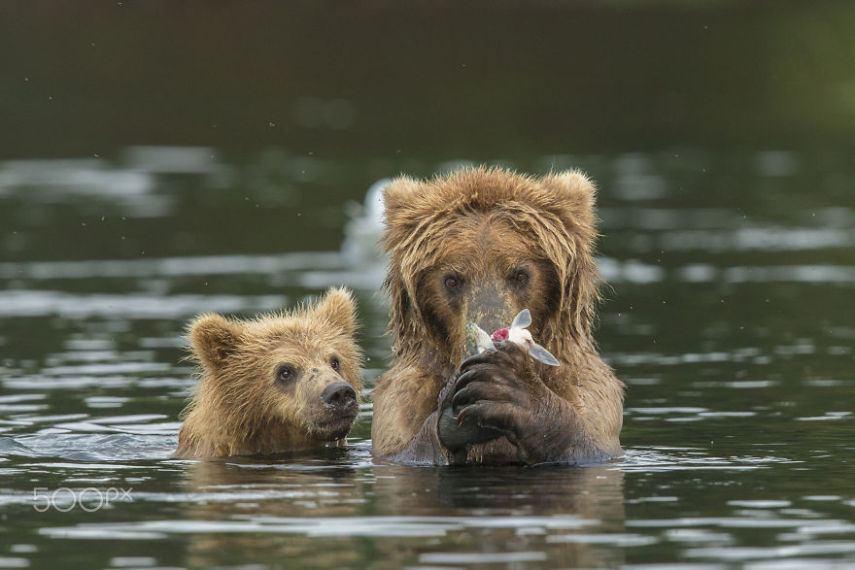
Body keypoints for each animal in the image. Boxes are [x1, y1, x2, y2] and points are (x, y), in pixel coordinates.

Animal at [372, 166, 624, 464]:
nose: (490, 341)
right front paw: (452, 415)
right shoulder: (397, 408)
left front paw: (509, 388)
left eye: (520, 274)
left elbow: (587, 446)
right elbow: (408, 450)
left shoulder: (593, 399)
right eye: (451, 279)